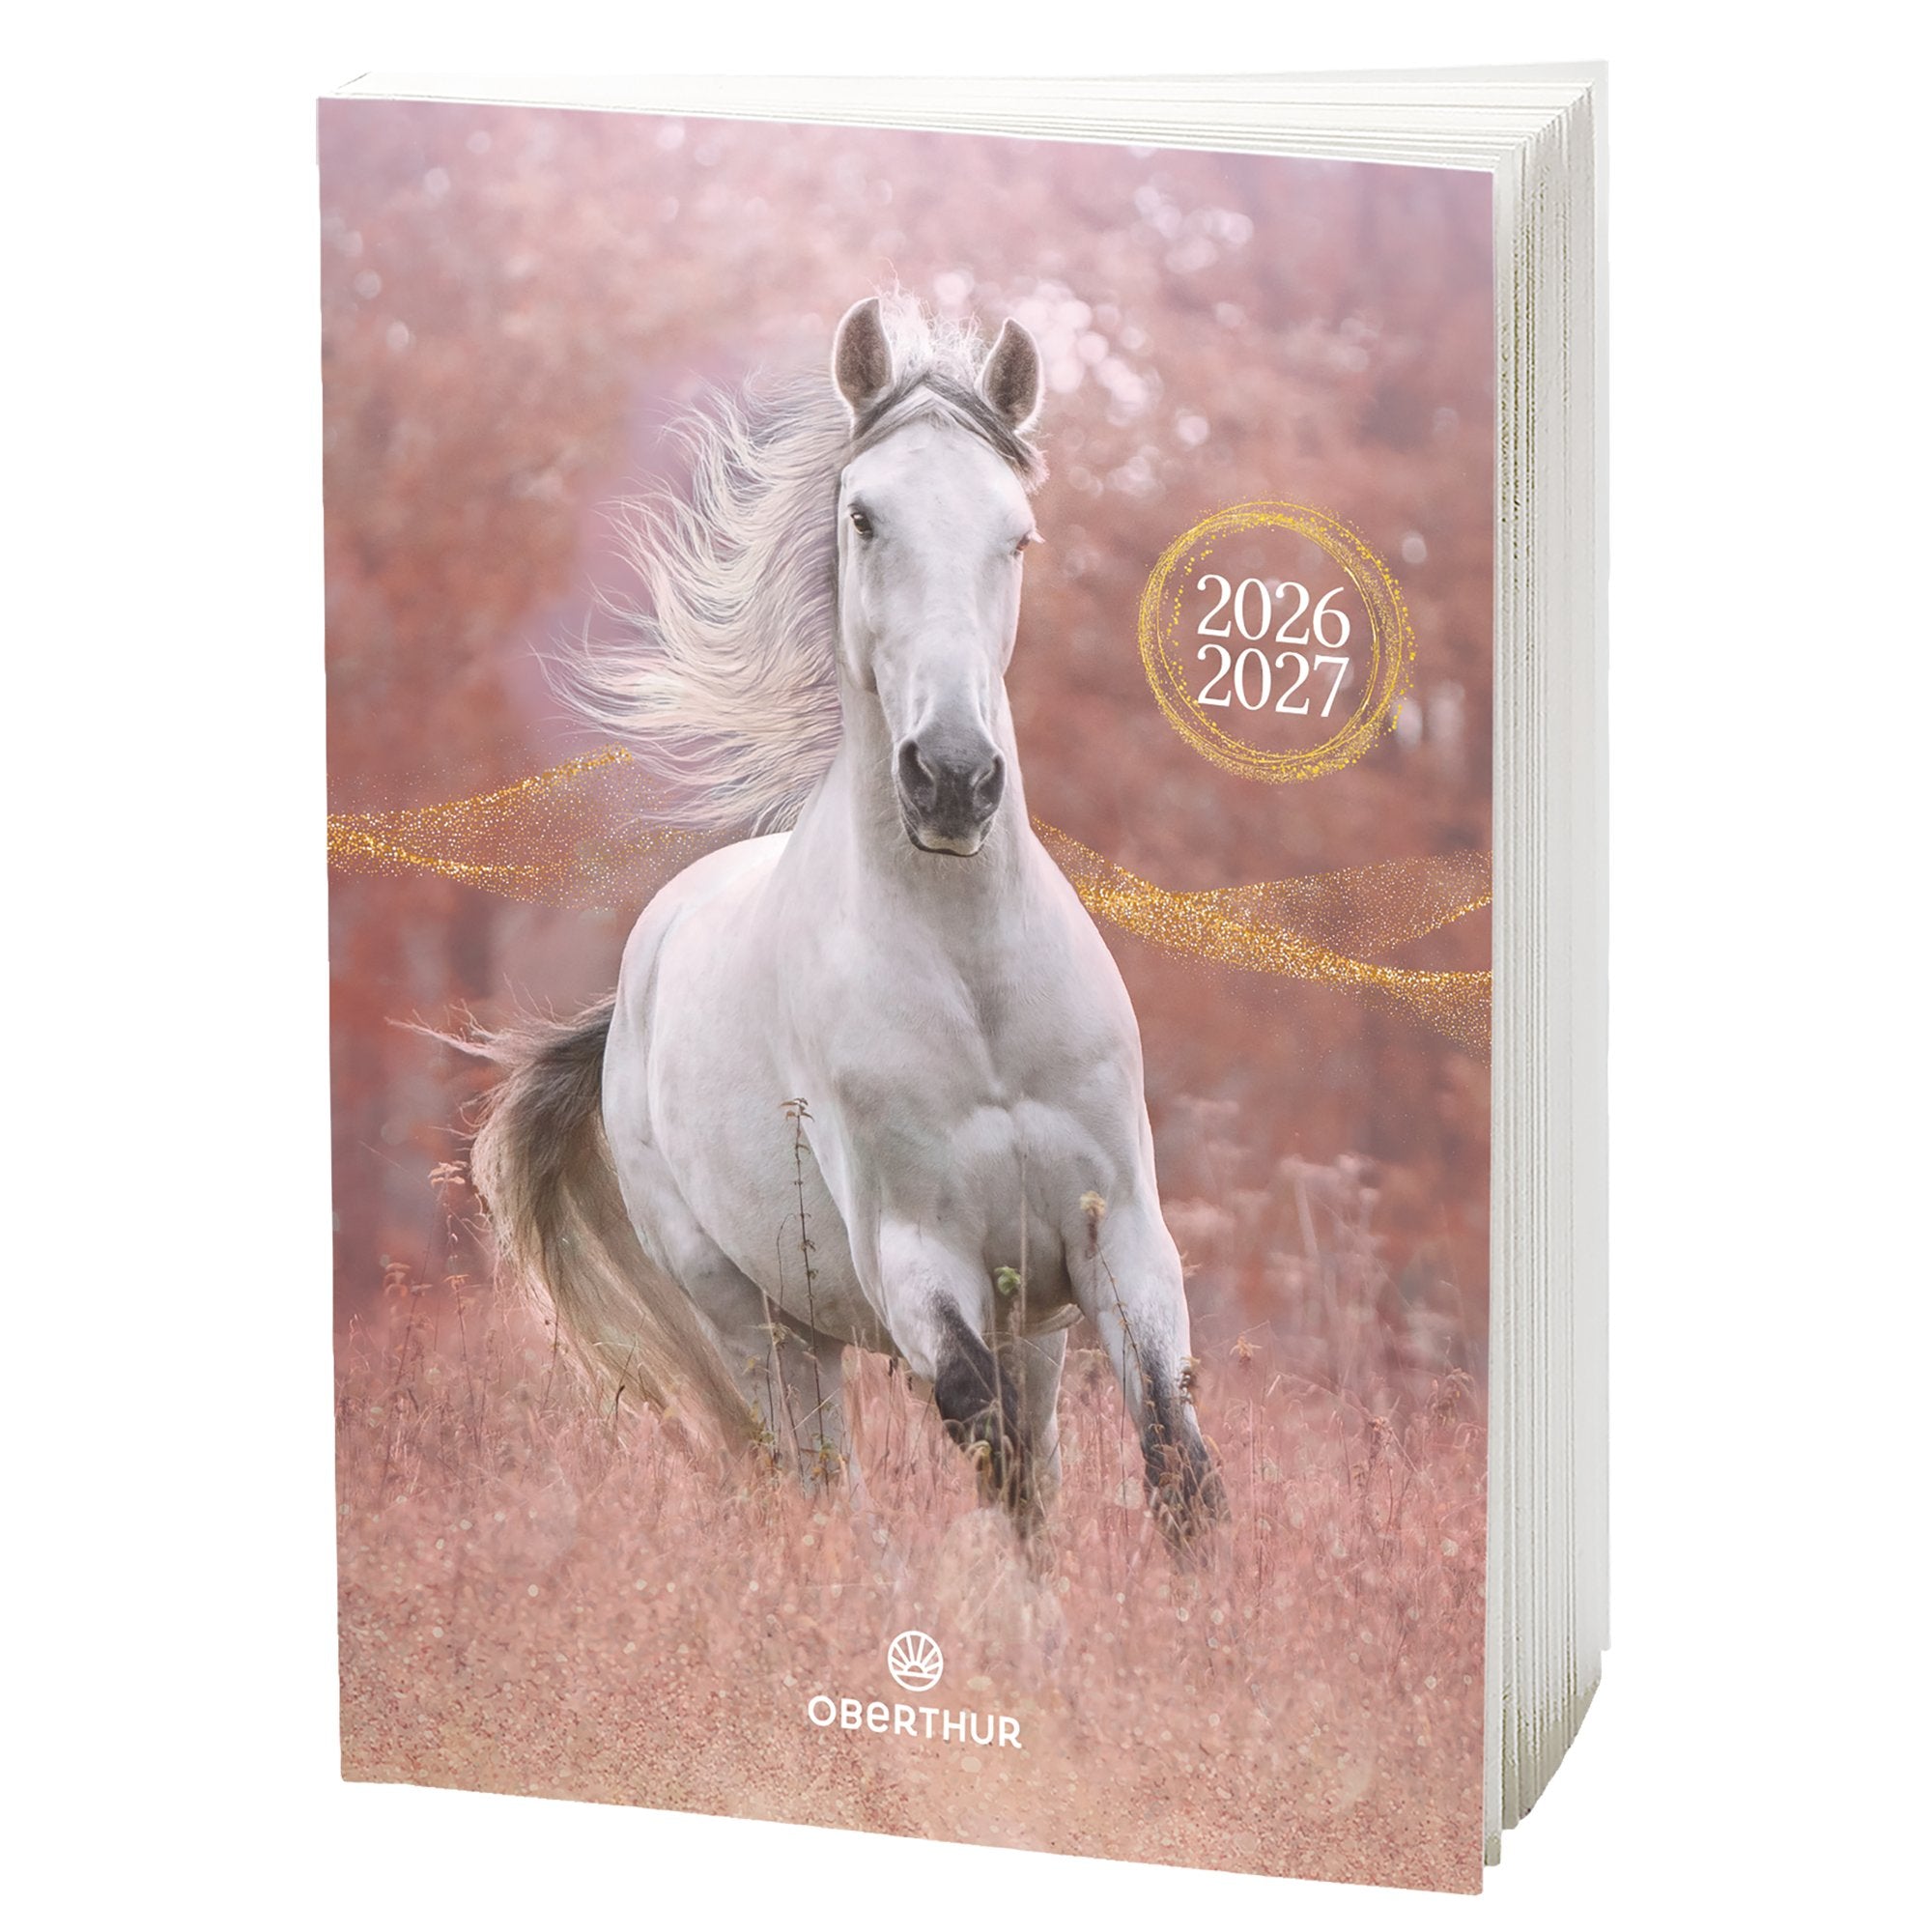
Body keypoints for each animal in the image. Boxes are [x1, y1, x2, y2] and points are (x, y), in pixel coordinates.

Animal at [470, 294, 1222, 1541]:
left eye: (1017, 534)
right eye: (864, 517)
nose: (953, 778)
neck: (975, 993)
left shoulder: (1113, 1243)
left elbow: (1176, 1469)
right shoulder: (917, 1265)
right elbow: (984, 1445)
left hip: (1031, 1327)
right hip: (764, 1324)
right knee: (825, 1488)